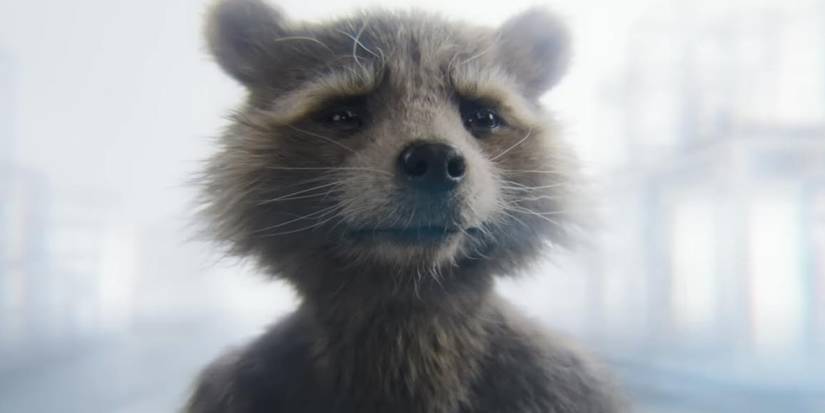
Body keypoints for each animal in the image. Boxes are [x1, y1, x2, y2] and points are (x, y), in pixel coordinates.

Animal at [186, 0, 623, 412]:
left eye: (482, 116)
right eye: (343, 114)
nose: (434, 160)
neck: (408, 295)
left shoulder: (565, 382)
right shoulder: (236, 387)